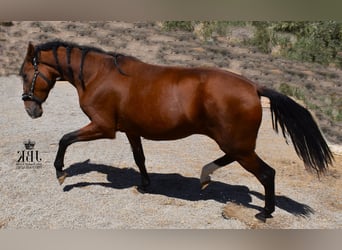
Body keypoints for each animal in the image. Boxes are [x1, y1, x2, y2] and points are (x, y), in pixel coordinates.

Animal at [20, 40, 332, 220]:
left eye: (24, 73)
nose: (31, 110)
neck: (99, 75)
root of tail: (254, 86)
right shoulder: (131, 130)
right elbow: (139, 158)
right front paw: (145, 184)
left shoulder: (103, 127)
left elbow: (65, 139)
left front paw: (61, 173)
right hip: (234, 142)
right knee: (235, 160)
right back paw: (205, 176)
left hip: (237, 144)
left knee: (267, 173)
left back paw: (265, 212)